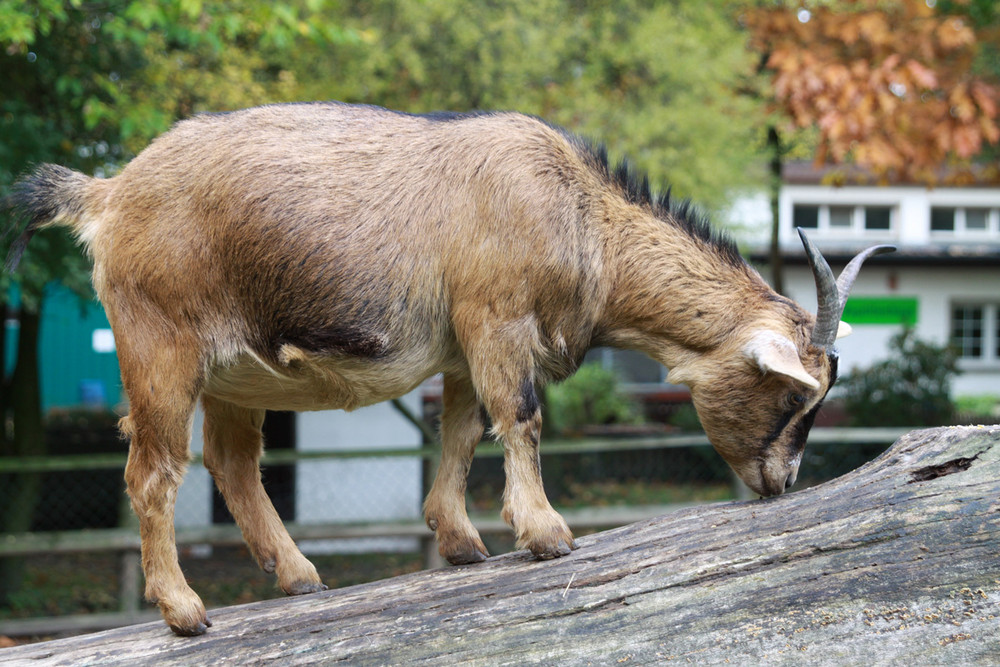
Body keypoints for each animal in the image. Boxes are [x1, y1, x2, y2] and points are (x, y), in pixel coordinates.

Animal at [1, 100, 892, 636]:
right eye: (794, 396)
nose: (781, 481)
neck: (584, 217)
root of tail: (105, 195)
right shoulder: (496, 320)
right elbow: (521, 416)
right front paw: (547, 534)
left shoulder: (462, 347)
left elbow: (463, 431)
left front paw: (463, 541)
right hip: (162, 345)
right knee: (153, 470)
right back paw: (185, 609)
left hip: (234, 373)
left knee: (233, 461)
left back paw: (300, 577)